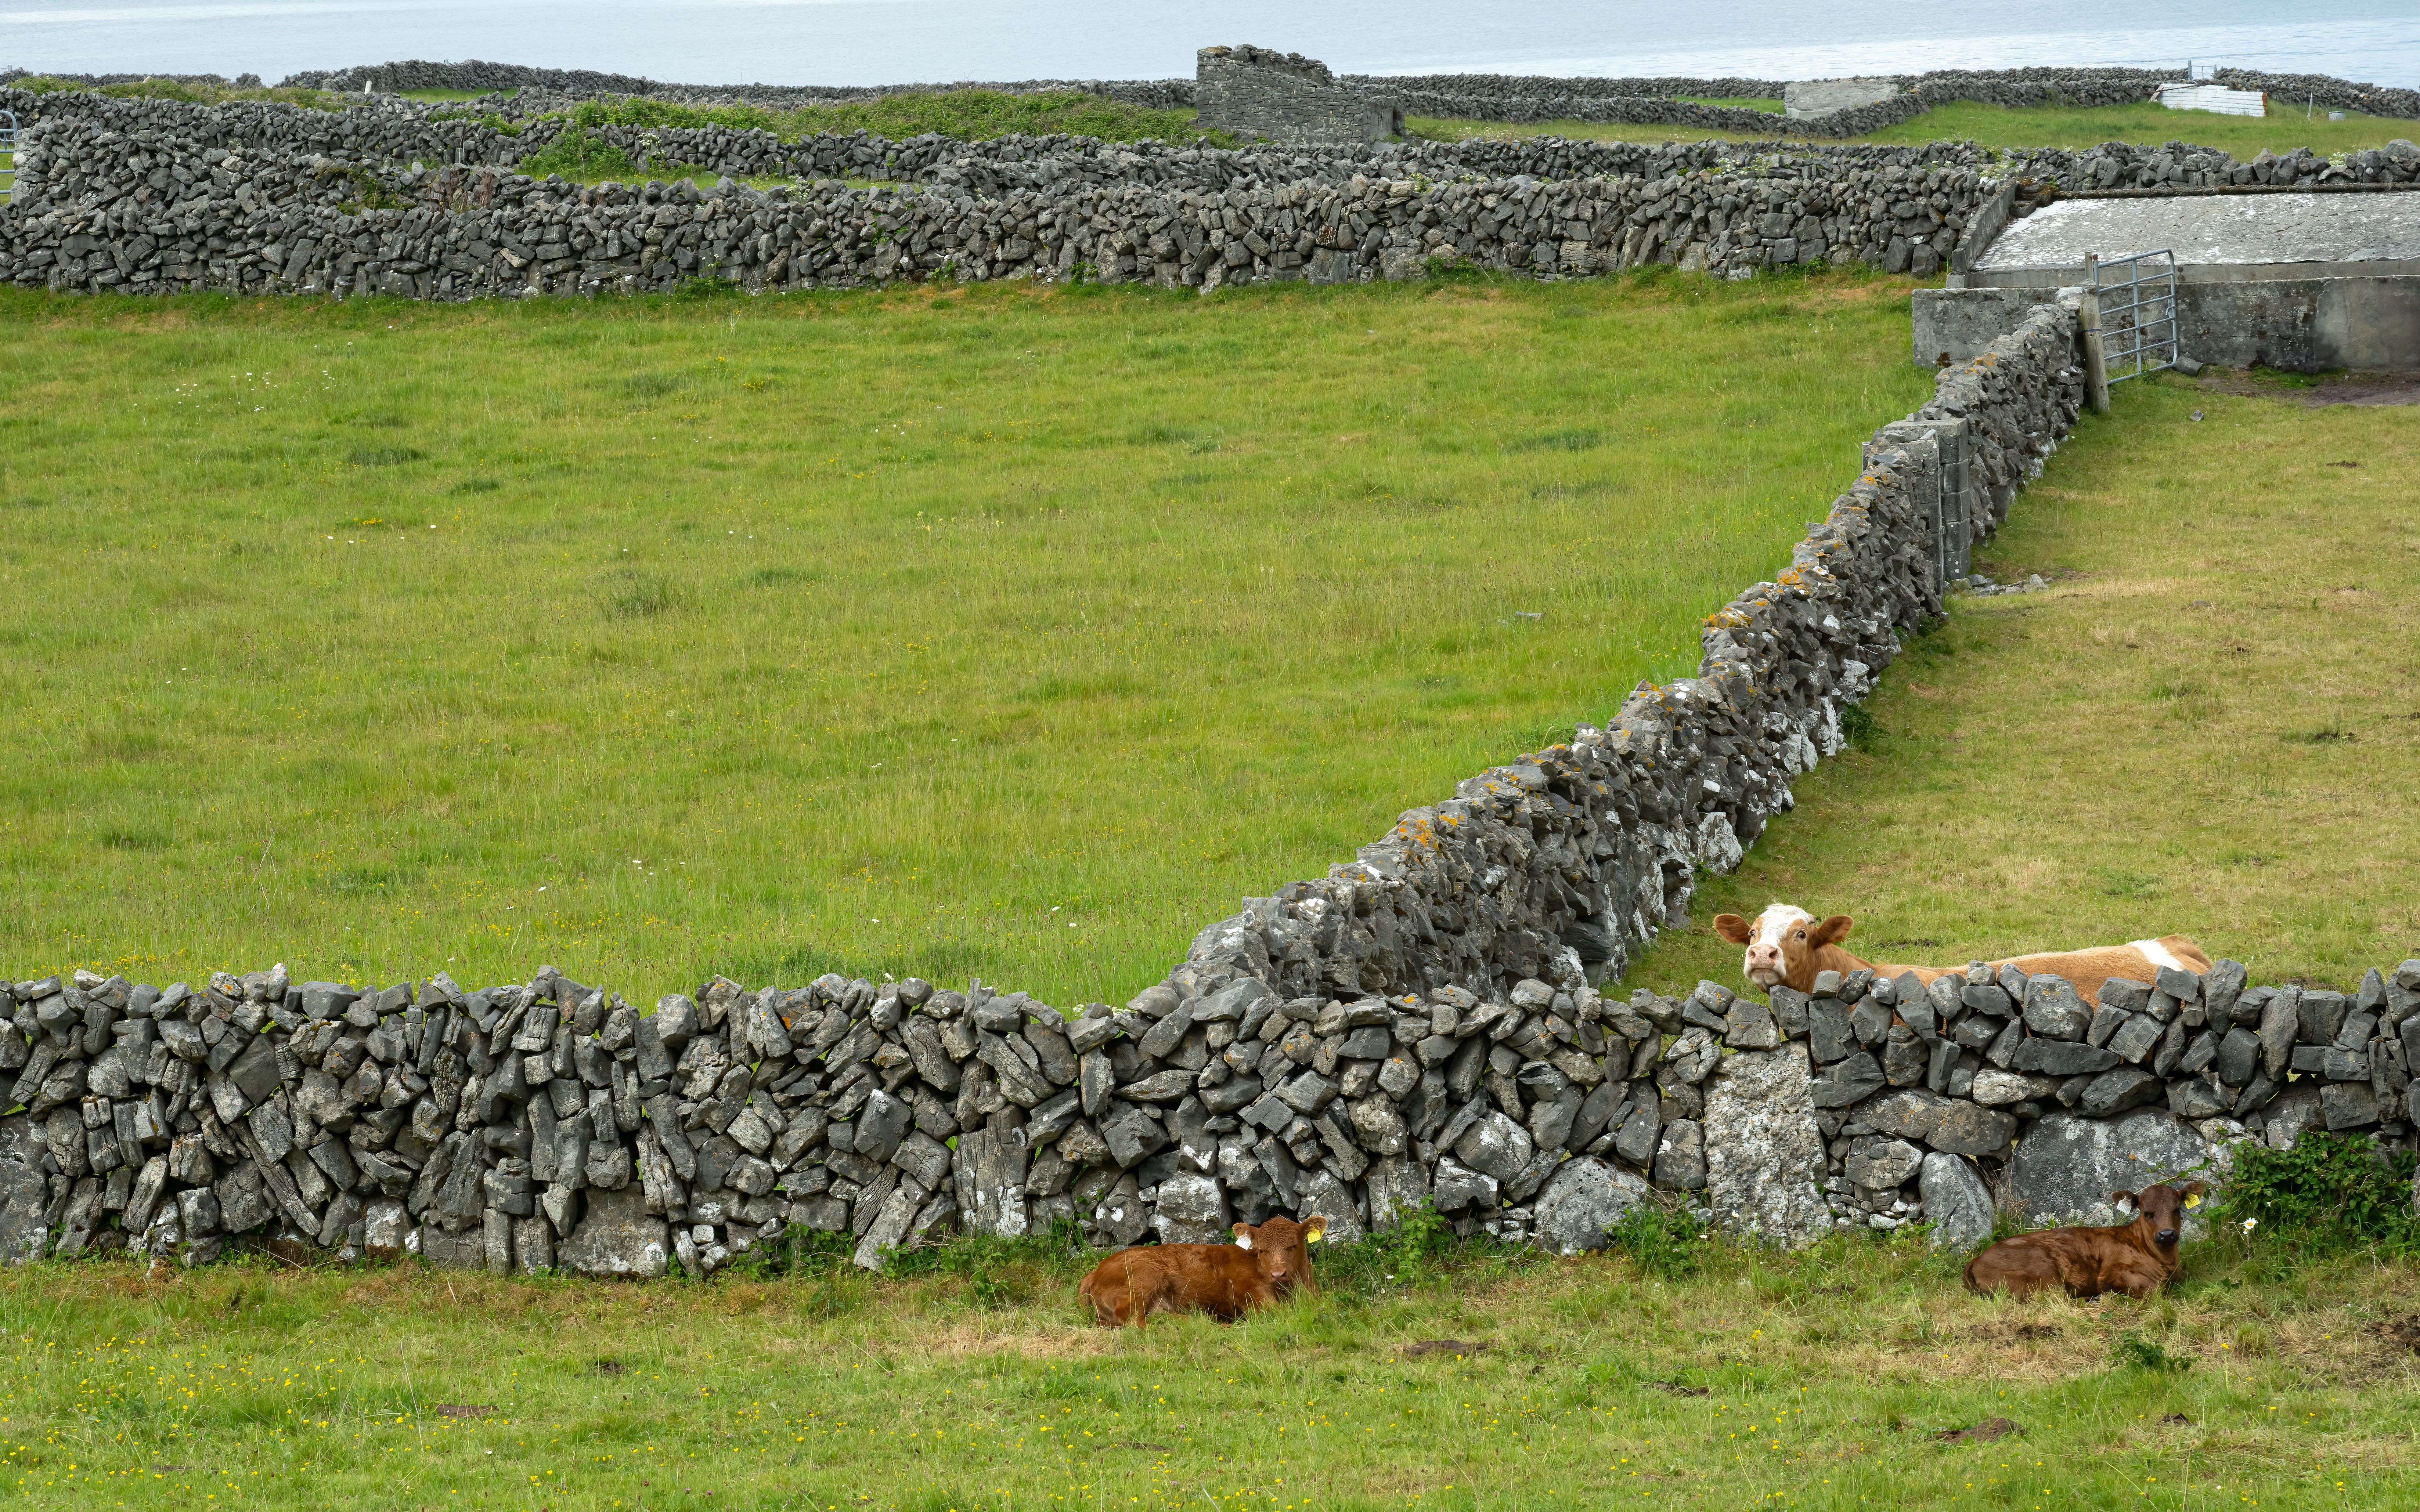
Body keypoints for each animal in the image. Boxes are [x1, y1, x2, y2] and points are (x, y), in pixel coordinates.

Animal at [1078, 1215, 1326, 1327]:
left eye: (1293, 1245)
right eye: (1262, 1250)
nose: (1278, 1274)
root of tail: (1095, 1272)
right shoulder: (1250, 1291)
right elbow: (1278, 1313)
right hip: (1144, 1277)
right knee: (1136, 1323)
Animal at [1963, 1181, 2209, 1299]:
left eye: (2177, 1209)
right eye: (2147, 1213)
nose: (2167, 1234)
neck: (2166, 1263)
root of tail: (1977, 1259)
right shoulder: (2113, 1274)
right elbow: (2153, 1290)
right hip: (2044, 1274)